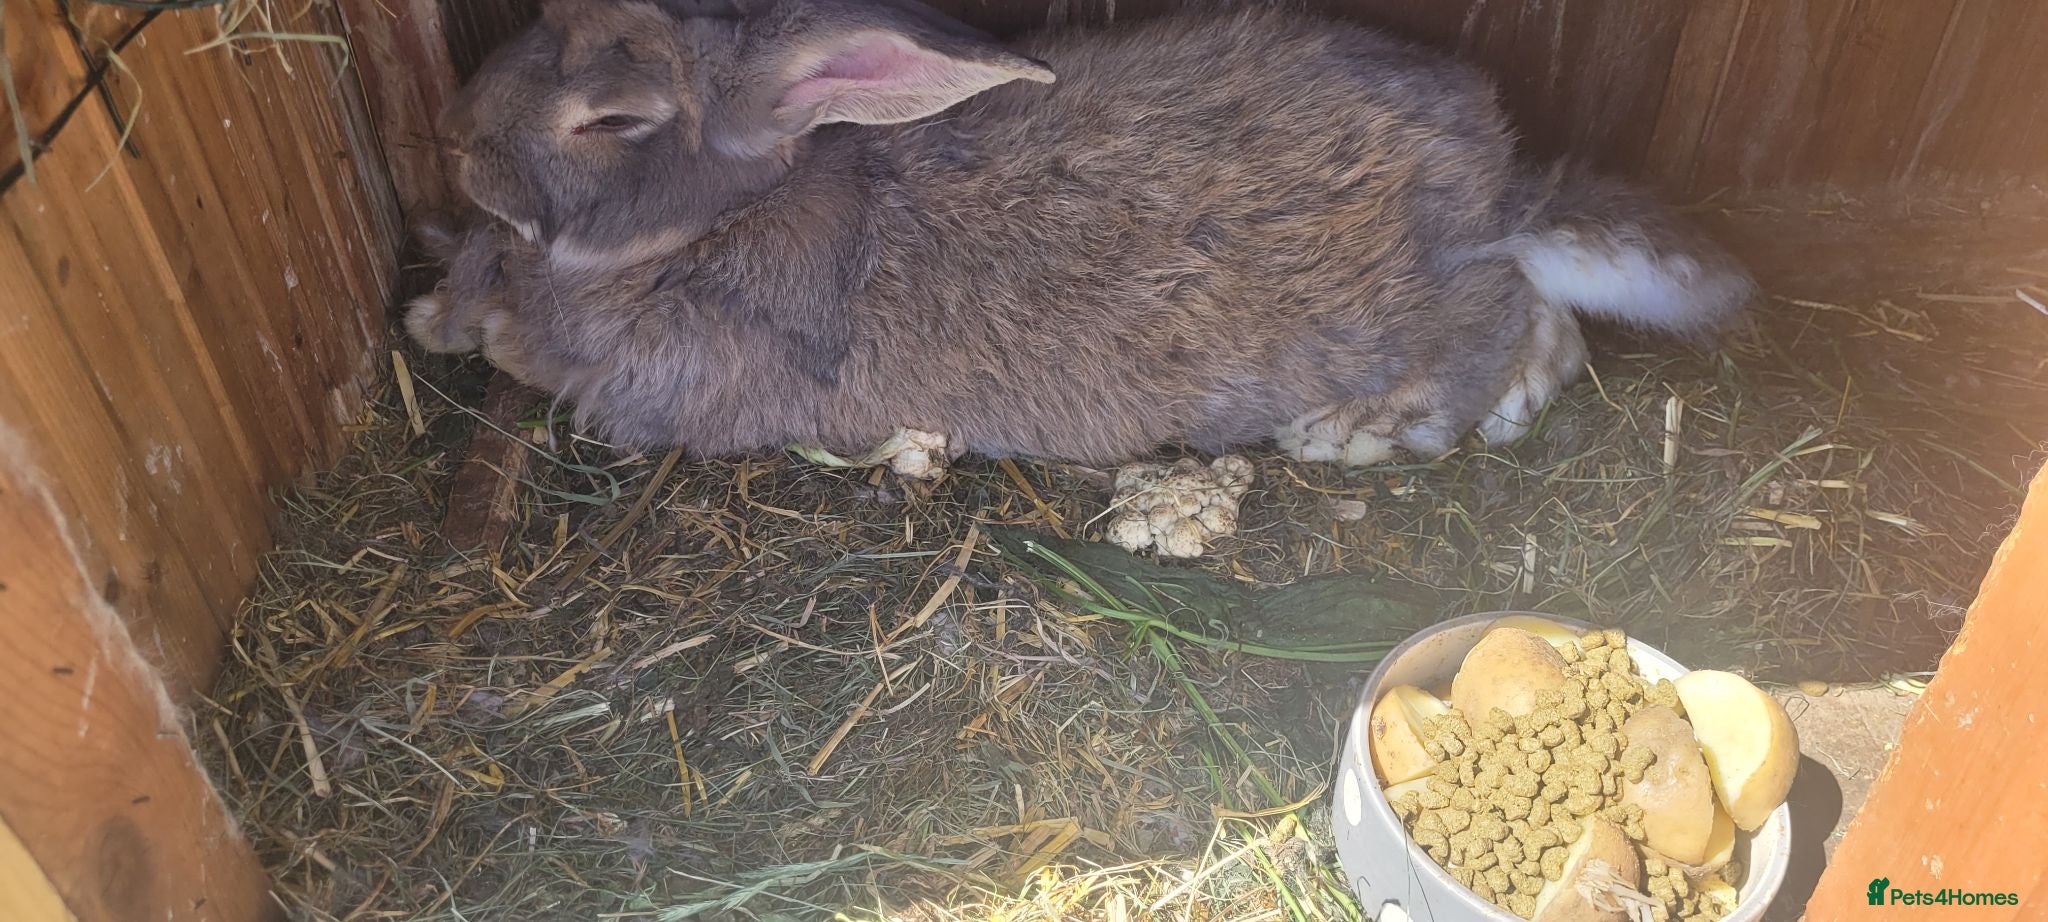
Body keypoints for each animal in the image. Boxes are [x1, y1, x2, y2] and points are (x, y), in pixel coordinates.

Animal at [404, 0, 1756, 470]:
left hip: (1394, 309)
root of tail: (1494, 187)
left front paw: (457, 325)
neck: (717, 214)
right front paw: (435, 305)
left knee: (1490, 322)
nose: (453, 136)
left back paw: (1363, 431)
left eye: (612, 120)